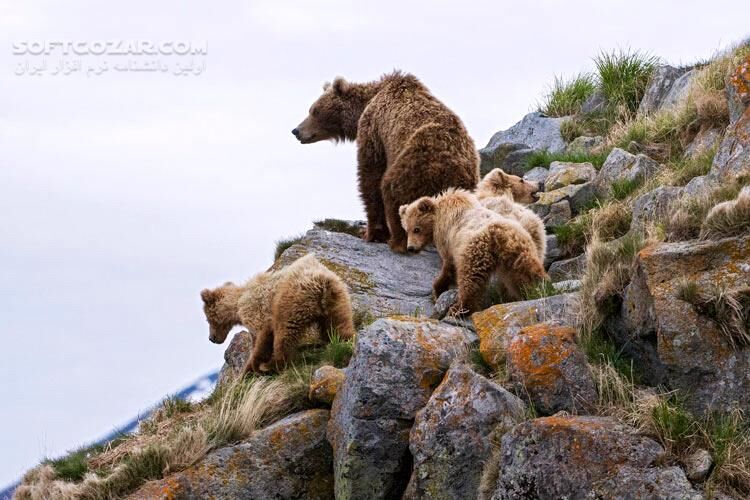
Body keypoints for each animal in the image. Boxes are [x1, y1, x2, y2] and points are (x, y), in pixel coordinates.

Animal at [200, 254, 355, 374]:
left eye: (208, 319)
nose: (211, 338)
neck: (237, 305)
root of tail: (322, 283)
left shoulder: (258, 312)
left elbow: (261, 339)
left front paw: (252, 366)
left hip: (290, 302)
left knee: (284, 334)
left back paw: (271, 365)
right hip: (338, 299)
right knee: (339, 324)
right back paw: (346, 341)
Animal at [293, 71, 479, 253]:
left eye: (314, 110)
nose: (296, 130)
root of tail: (452, 166)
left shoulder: (373, 129)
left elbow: (370, 175)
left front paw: (369, 233)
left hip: (414, 163)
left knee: (392, 192)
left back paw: (397, 241)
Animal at [399, 189, 547, 315]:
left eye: (416, 229)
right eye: (406, 230)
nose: (411, 248)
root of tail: (502, 236)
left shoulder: (448, 239)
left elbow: (449, 264)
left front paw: (438, 288)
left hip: (476, 250)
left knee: (470, 279)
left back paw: (459, 308)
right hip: (521, 252)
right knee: (525, 272)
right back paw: (536, 288)